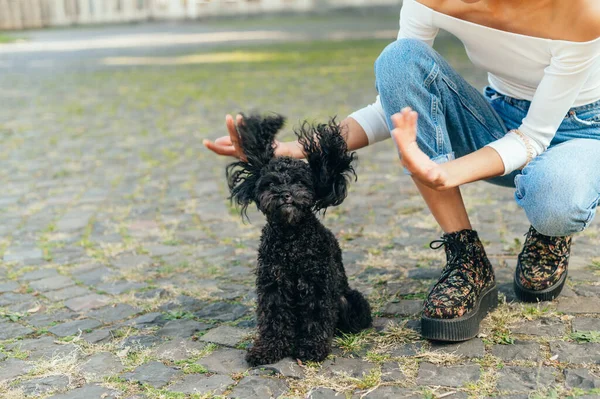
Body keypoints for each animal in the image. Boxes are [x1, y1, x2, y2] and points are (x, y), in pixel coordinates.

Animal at [227, 114, 372, 368]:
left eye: (300, 182)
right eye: (271, 183)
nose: (285, 194)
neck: (291, 240)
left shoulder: (317, 285)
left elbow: (316, 319)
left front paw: (312, 349)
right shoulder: (273, 285)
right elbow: (273, 319)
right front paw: (268, 349)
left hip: (351, 299)